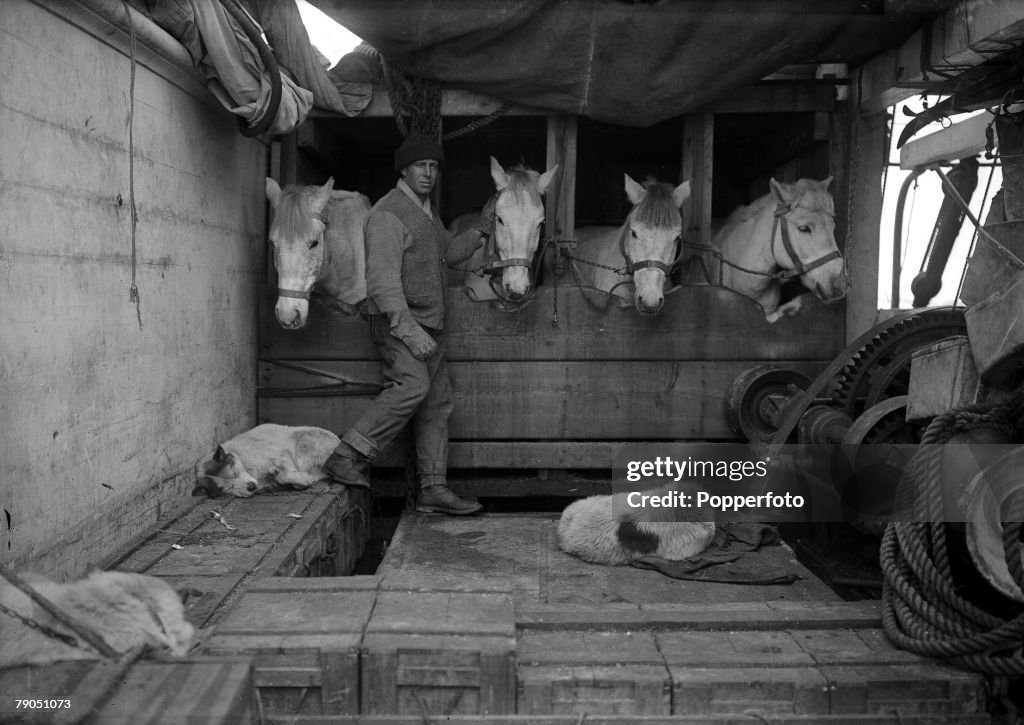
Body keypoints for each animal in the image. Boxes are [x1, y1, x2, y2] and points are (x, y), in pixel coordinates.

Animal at [196, 423, 344, 497]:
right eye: (229, 487)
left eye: (235, 473)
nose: (251, 487)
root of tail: (338, 441)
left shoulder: (282, 454)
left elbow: (285, 473)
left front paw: (301, 479)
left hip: (304, 440)